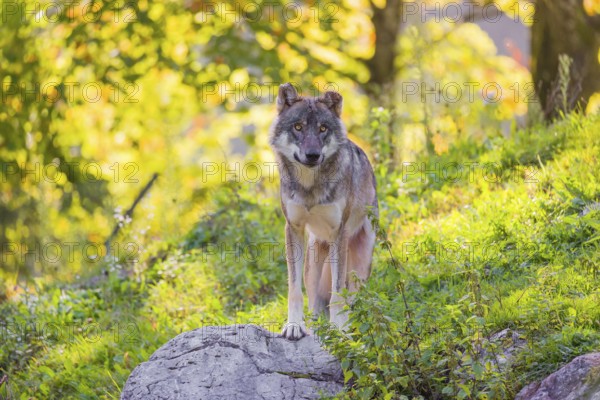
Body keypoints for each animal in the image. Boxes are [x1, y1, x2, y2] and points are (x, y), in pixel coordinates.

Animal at [270, 83, 378, 340]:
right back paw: (314, 328)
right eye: (298, 127)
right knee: (314, 302)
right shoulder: (293, 229)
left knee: (351, 297)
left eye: (322, 128)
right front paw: (294, 326)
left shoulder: (338, 233)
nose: (312, 155)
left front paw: (339, 331)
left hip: (360, 262)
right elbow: (294, 289)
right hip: (313, 259)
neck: (310, 186)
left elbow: (338, 293)